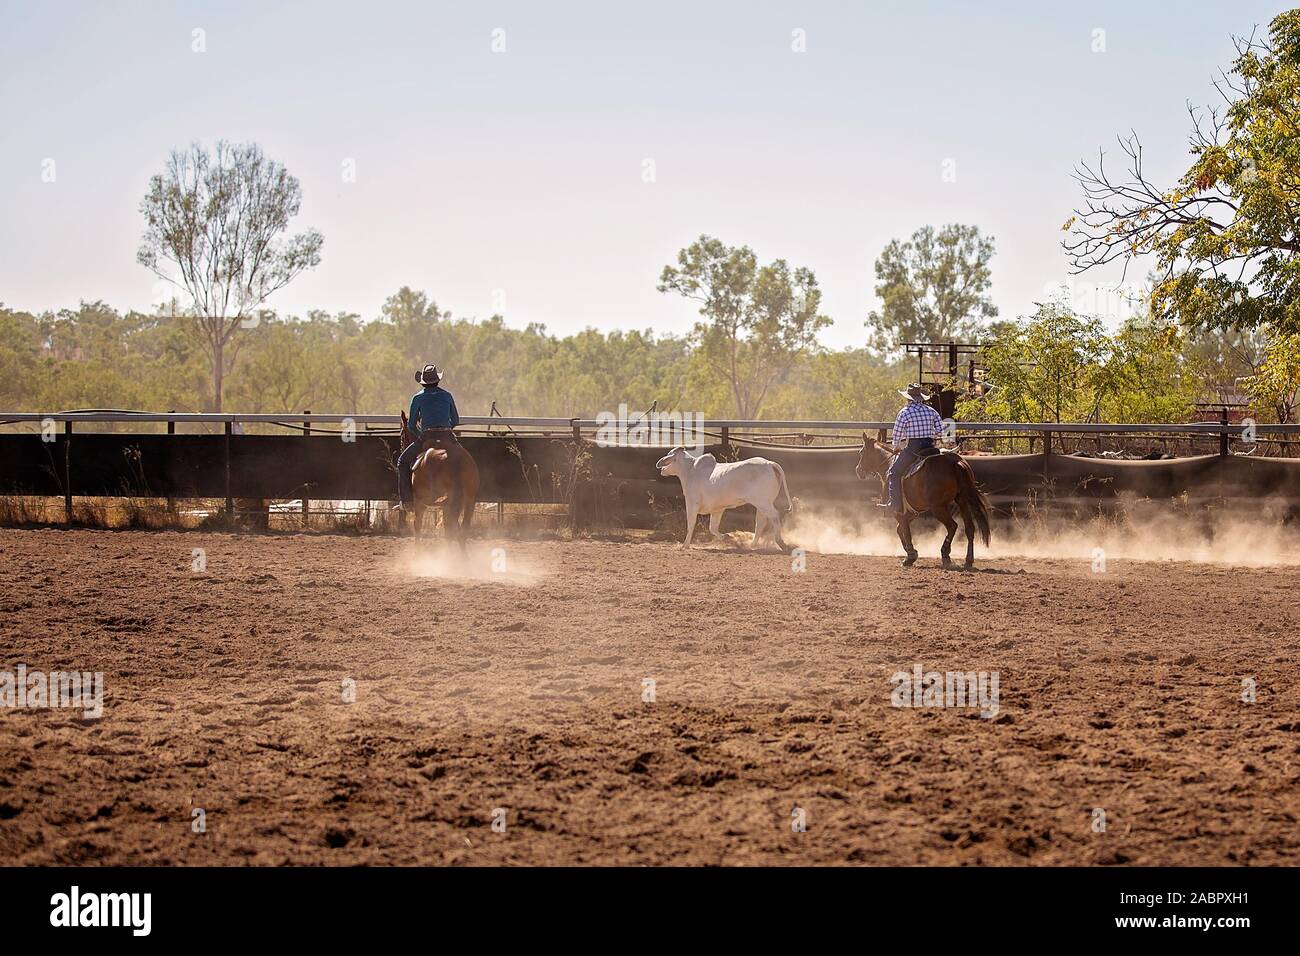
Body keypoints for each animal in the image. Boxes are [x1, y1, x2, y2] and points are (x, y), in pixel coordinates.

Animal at [397, 411, 480, 554]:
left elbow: (417, 524)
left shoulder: (420, 502)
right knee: (461, 528)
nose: (402, 447)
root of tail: (455, 459)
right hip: (468, 500)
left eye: (402, 435)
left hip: (439, 499)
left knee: (452, 527)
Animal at [650, 447, 790, 554]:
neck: (690, 470)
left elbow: (691, 524)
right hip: (761, 504)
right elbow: (713, 527)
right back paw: (752, 544)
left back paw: (781, 542)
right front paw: (728, 538)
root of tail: (770, 464)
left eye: (669, 455)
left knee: (774, 516)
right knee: (761, 522)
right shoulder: (717, 509)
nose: (661, 468)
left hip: (763, 502)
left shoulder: (692, 503)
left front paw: (685, 545)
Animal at [857, 431, 987, 567]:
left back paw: (945, 554)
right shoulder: (913, 511)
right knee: (969, 528)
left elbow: (905, 530)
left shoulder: (898, 511)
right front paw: (912, 551)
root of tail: (955, 462)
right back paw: (968, 560)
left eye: (861, 452)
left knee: (952, 526)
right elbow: (900, 529)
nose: (858, 470)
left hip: (938, 508)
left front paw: (910, 556)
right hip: (962, 501)